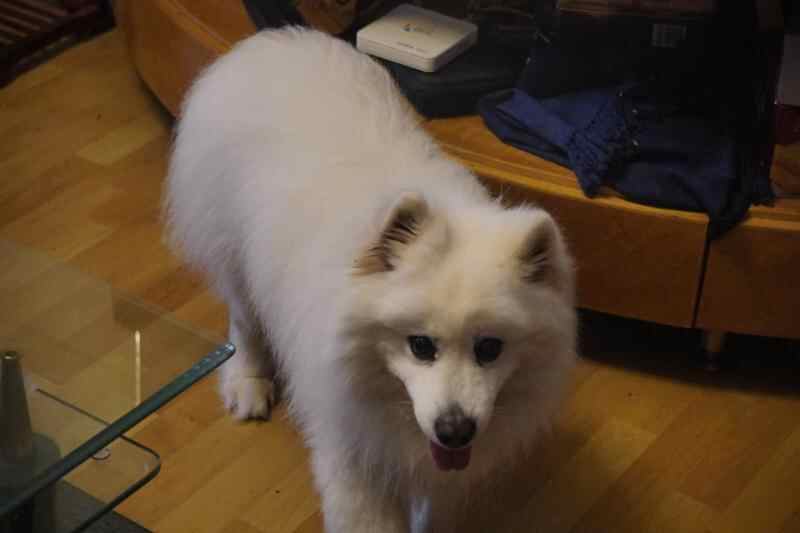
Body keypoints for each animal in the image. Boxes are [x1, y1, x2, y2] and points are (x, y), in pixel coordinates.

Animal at [165, 27, 577, 533]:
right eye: (420, 346)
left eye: (490, 348)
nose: (454, 431)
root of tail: (271, 41)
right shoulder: (354, 456)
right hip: (235, 254)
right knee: (243, 322)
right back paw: (248, 384)